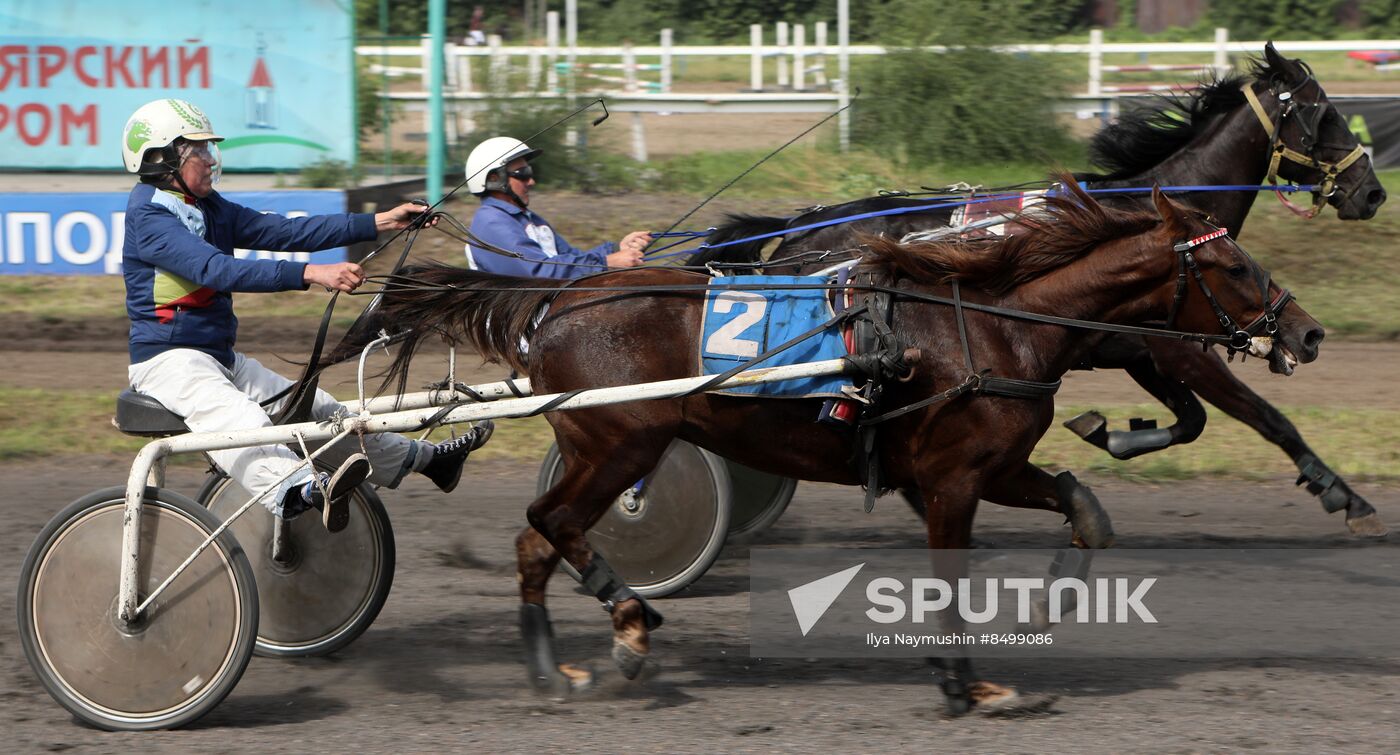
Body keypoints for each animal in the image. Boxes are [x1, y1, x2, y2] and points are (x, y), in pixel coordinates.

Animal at [350, 183, 1321, 714]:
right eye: (1232, 264)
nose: (1306, 332)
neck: (988, 324)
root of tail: (559, 303)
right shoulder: (952, 481)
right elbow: (947, 587)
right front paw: (966, 684)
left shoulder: (987, 468)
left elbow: (1085, 503)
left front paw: (1056, 595)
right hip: (623, 440)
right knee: (546, 522)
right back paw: (618, 630)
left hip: (616, 443)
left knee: (536, 538)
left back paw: (566, 660)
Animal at [688, 42, 1388, 537]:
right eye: (1324, 112)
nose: (1373, 192)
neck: (1152, 214)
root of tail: (800, 230)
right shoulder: (1173, 347)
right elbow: (1264, 417)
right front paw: (1345, 495)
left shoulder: (1139, 351)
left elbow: (1189, 423)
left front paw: (1110, 433)